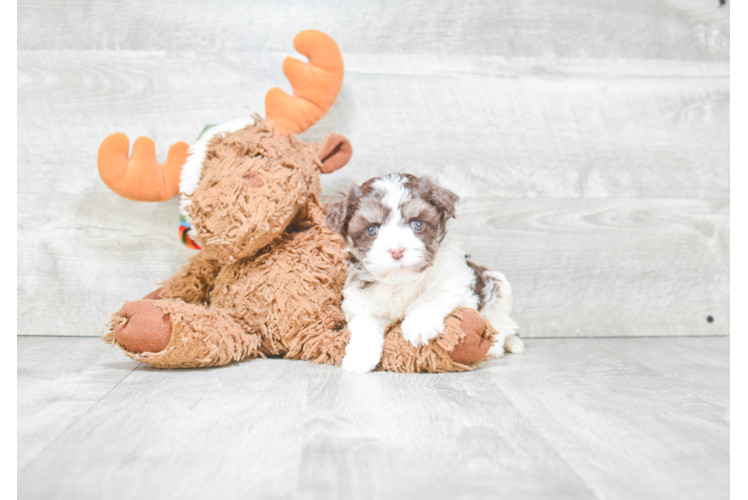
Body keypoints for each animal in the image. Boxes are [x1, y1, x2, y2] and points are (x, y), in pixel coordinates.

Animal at [324, 172, 524, 372]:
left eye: (418, 224)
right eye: (372, 229)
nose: (397, 250)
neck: (401, 280)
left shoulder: (456, 279)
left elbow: (433, 295)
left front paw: (418, 324)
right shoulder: (360, 299)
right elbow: (365, 322)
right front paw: (359, 357)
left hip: (499, 286)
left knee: (502, 323)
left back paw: (498, 346)